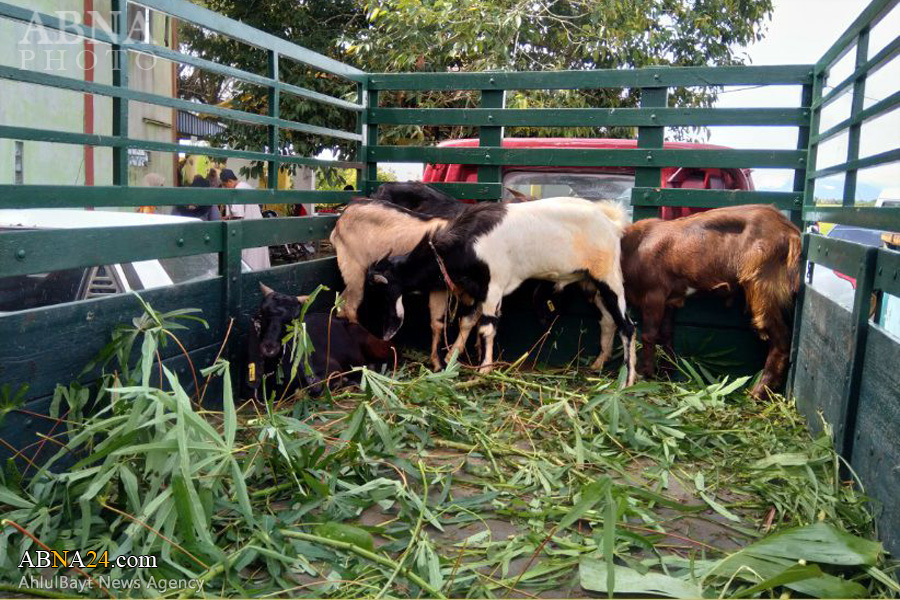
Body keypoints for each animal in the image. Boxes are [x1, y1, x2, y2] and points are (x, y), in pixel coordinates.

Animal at [366, 197, 637, 384]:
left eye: (384, 291)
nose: (385, 334)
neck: (467, 243)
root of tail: (612, 223)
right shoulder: (480, 290)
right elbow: (467, 322)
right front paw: (452, 356)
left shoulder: (493, 286)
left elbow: (487, 327)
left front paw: (484, 370)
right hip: (592, 282)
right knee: (608, 321)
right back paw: (599, 364)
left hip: (609, 277)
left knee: (628, 326)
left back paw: (628, 380)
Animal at [620, 204, 801, 398]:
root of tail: (791, 231)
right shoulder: (670, 300)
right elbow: (667, 334)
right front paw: (667, 372)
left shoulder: (654, 294)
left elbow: (649, 335)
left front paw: (645, 374)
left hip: (763, 285)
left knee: (780, 338)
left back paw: (757, 392)